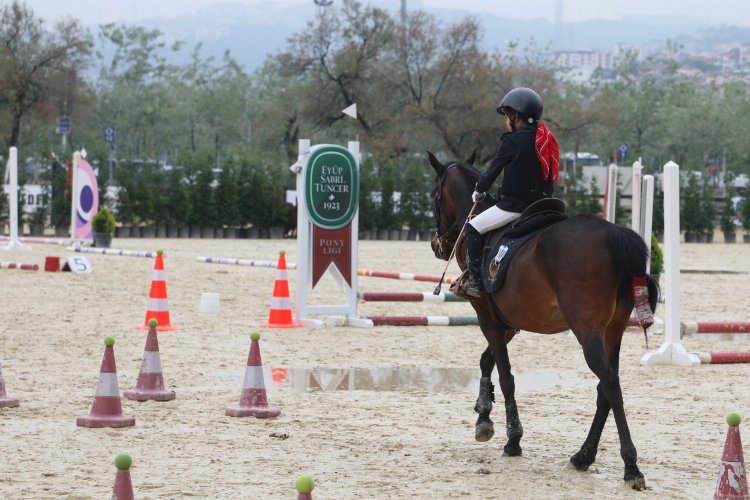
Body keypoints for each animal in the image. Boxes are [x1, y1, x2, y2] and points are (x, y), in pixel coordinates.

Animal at [428, 150, 656, 490]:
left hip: (588, 333)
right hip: (612, 333)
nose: (436, 245)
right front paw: (483, 415)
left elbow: (506, 376)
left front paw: (512, 438)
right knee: (605, 388)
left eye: (434, 196)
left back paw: (631, 466)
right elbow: (486, 361)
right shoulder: (508, 321)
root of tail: (613, 233)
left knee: (610, 384)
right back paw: (583, 456)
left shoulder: (487, 317)